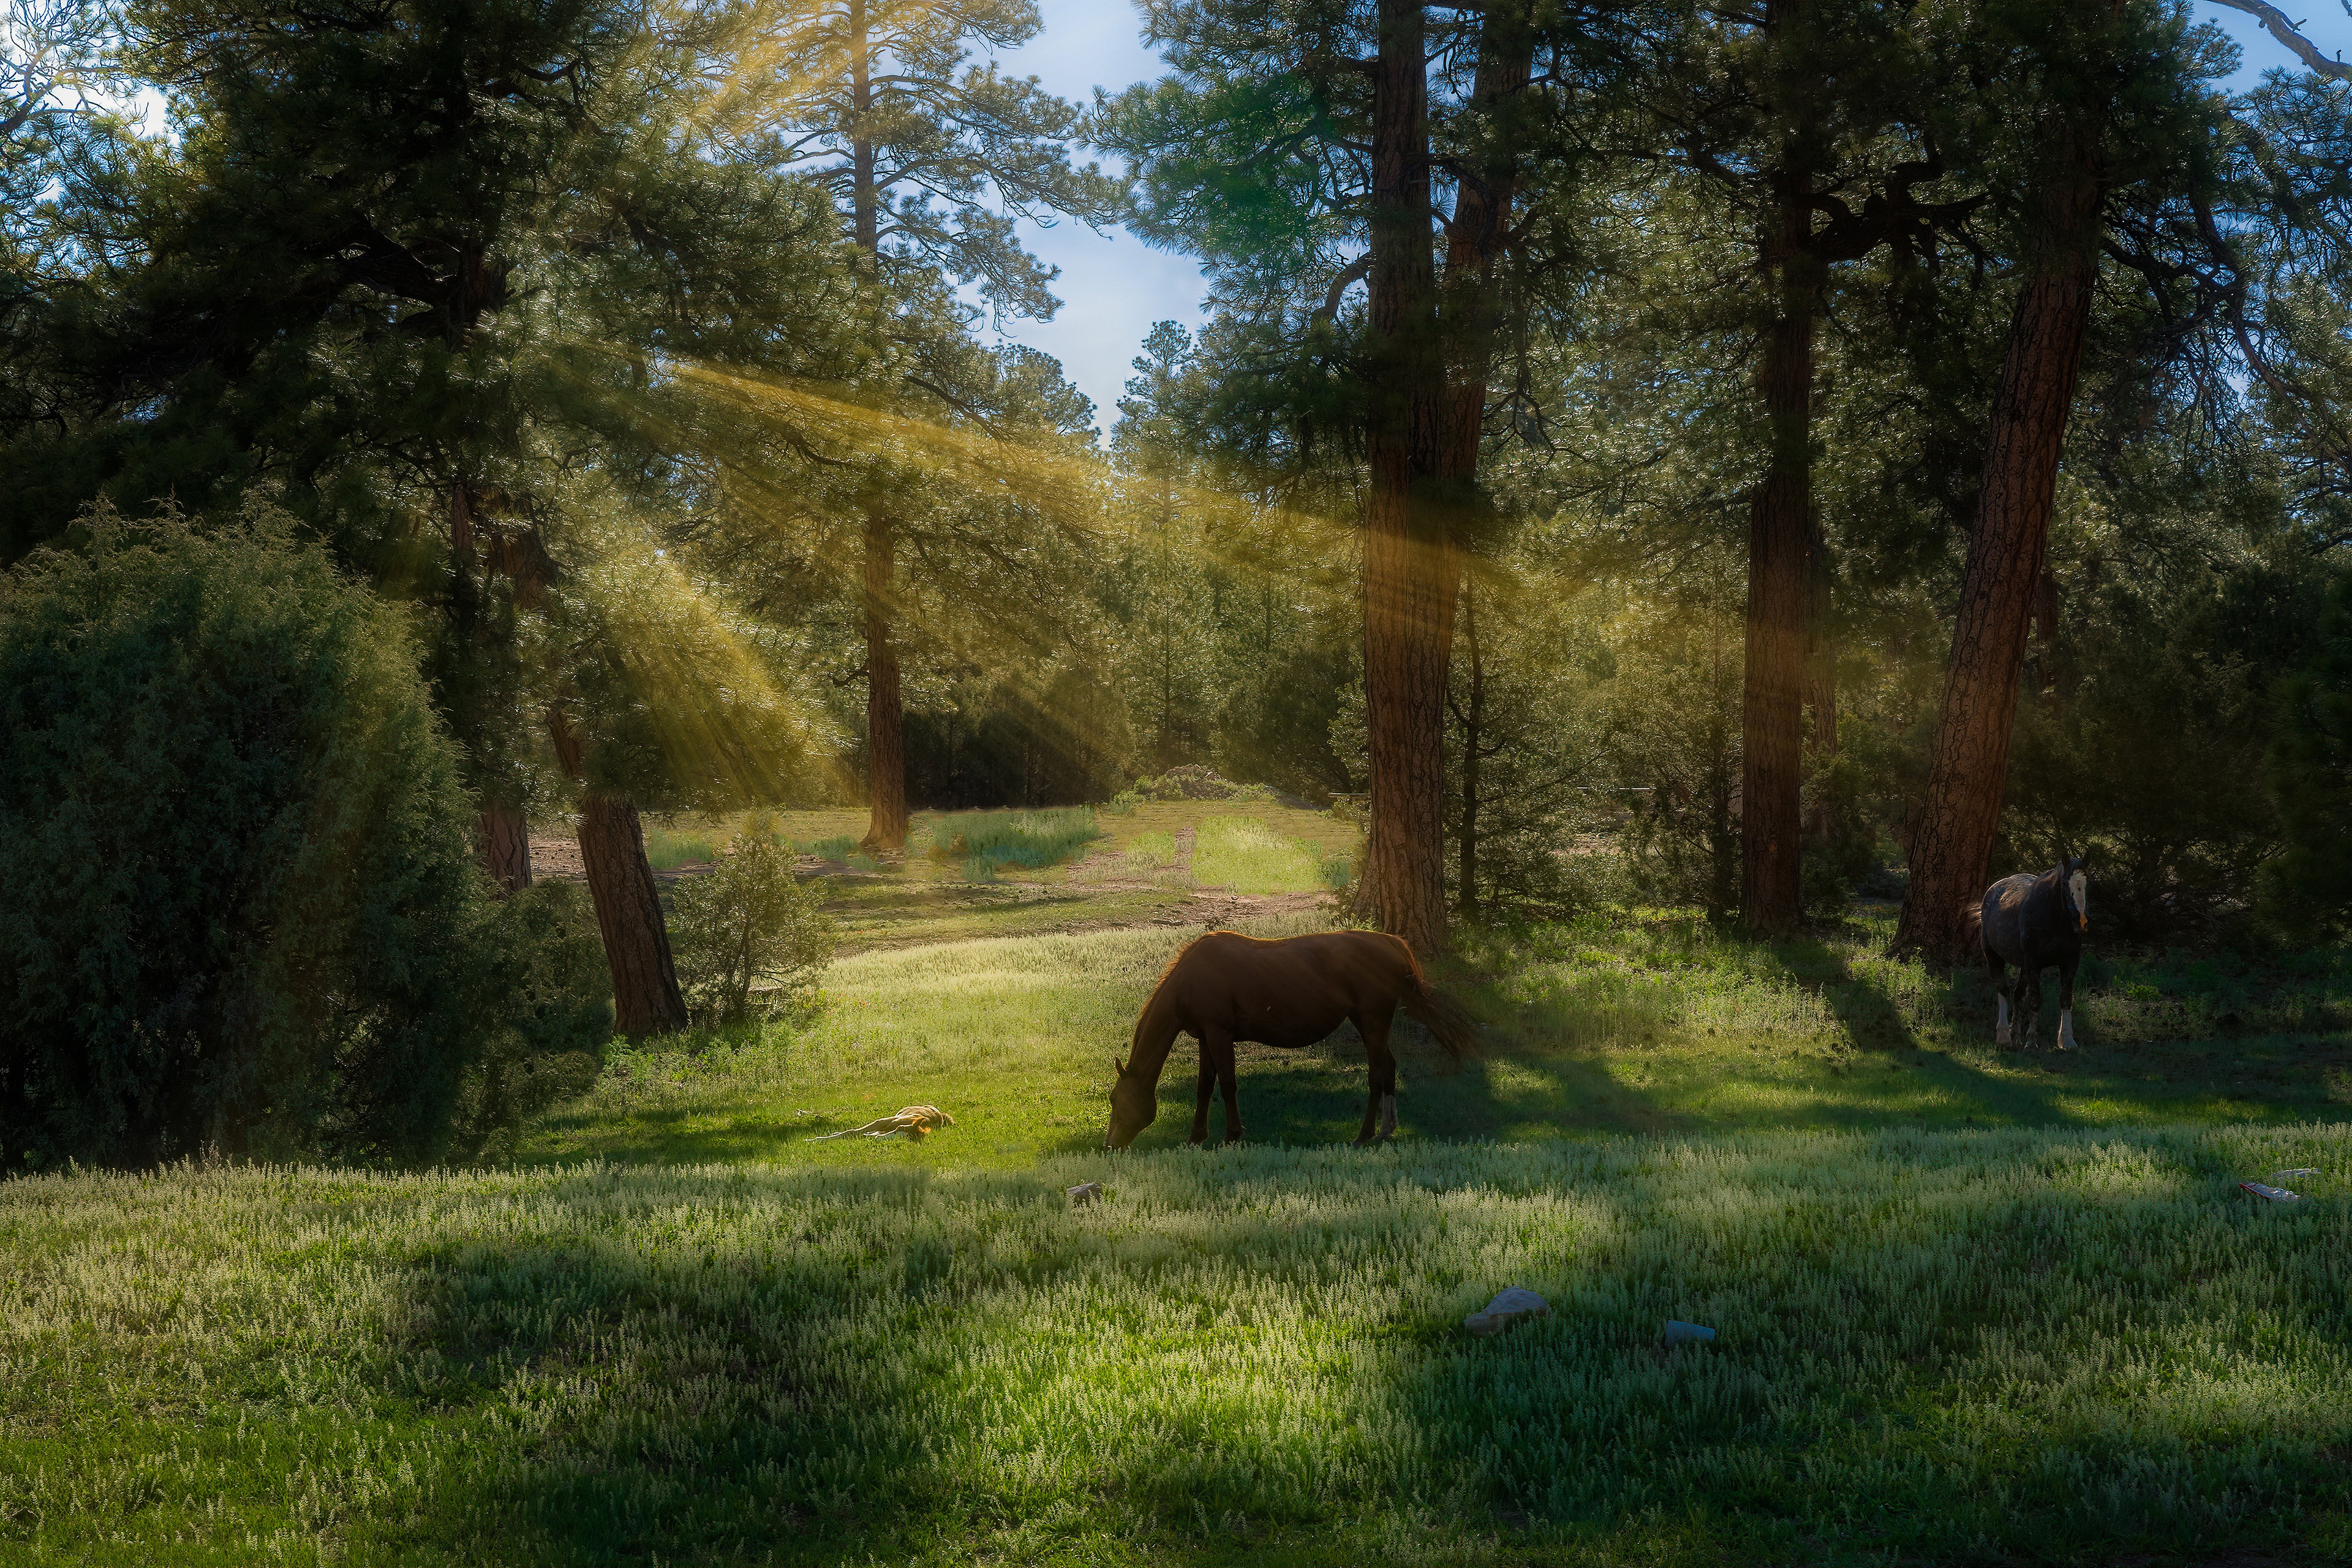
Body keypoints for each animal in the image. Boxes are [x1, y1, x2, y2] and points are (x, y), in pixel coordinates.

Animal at [1101, 930, 1468, 1152]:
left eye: (1114, 1099)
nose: (1109, 1145)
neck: (1190, 978)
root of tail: (1390, 942)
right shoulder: (1206, 1037)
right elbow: (1205, 1087)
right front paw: (1195, 1138)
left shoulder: (1220, 1034)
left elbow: (1228, 1086)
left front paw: (1232, 1136)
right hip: (1367, 1022)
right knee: (1388, 1067)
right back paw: (1384, 1129)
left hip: (1374, 1020)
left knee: (1377, 1074)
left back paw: (1365, 1134)